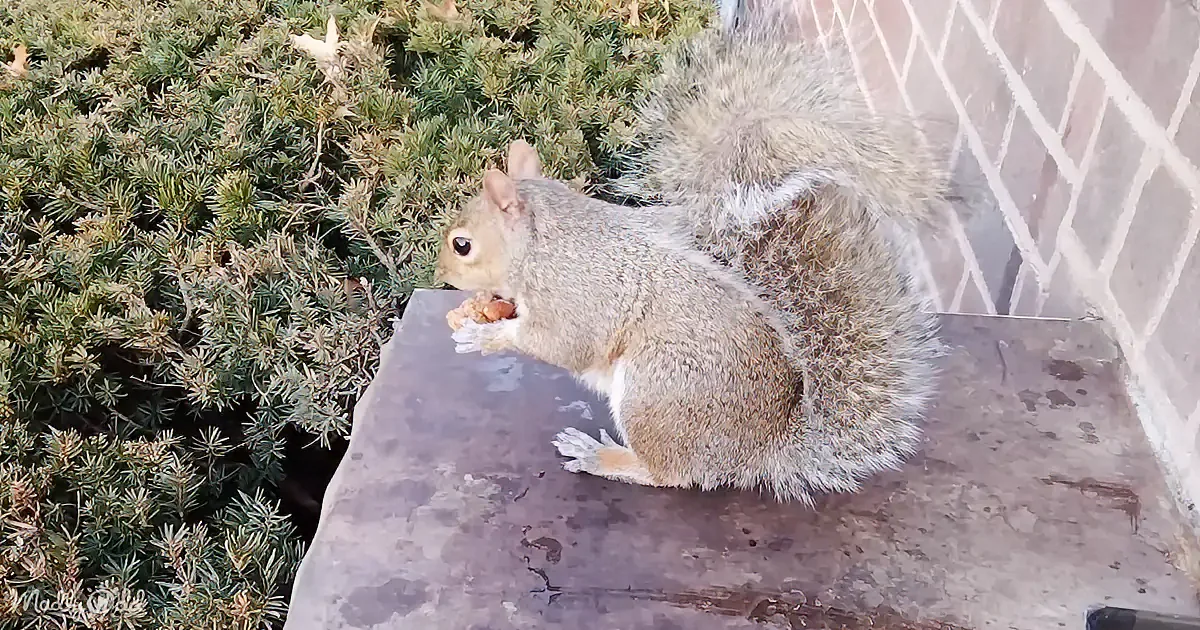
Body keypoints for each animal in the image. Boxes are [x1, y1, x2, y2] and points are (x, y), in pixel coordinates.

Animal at [433, 0, 951, 504]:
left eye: (463, 245)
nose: (443, 276)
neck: (545, 241)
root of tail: (759, 449)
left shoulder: (576, 295)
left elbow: (561, 343)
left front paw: (486, 337)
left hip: (656, 390)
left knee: (668, 473)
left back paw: (602, 456)